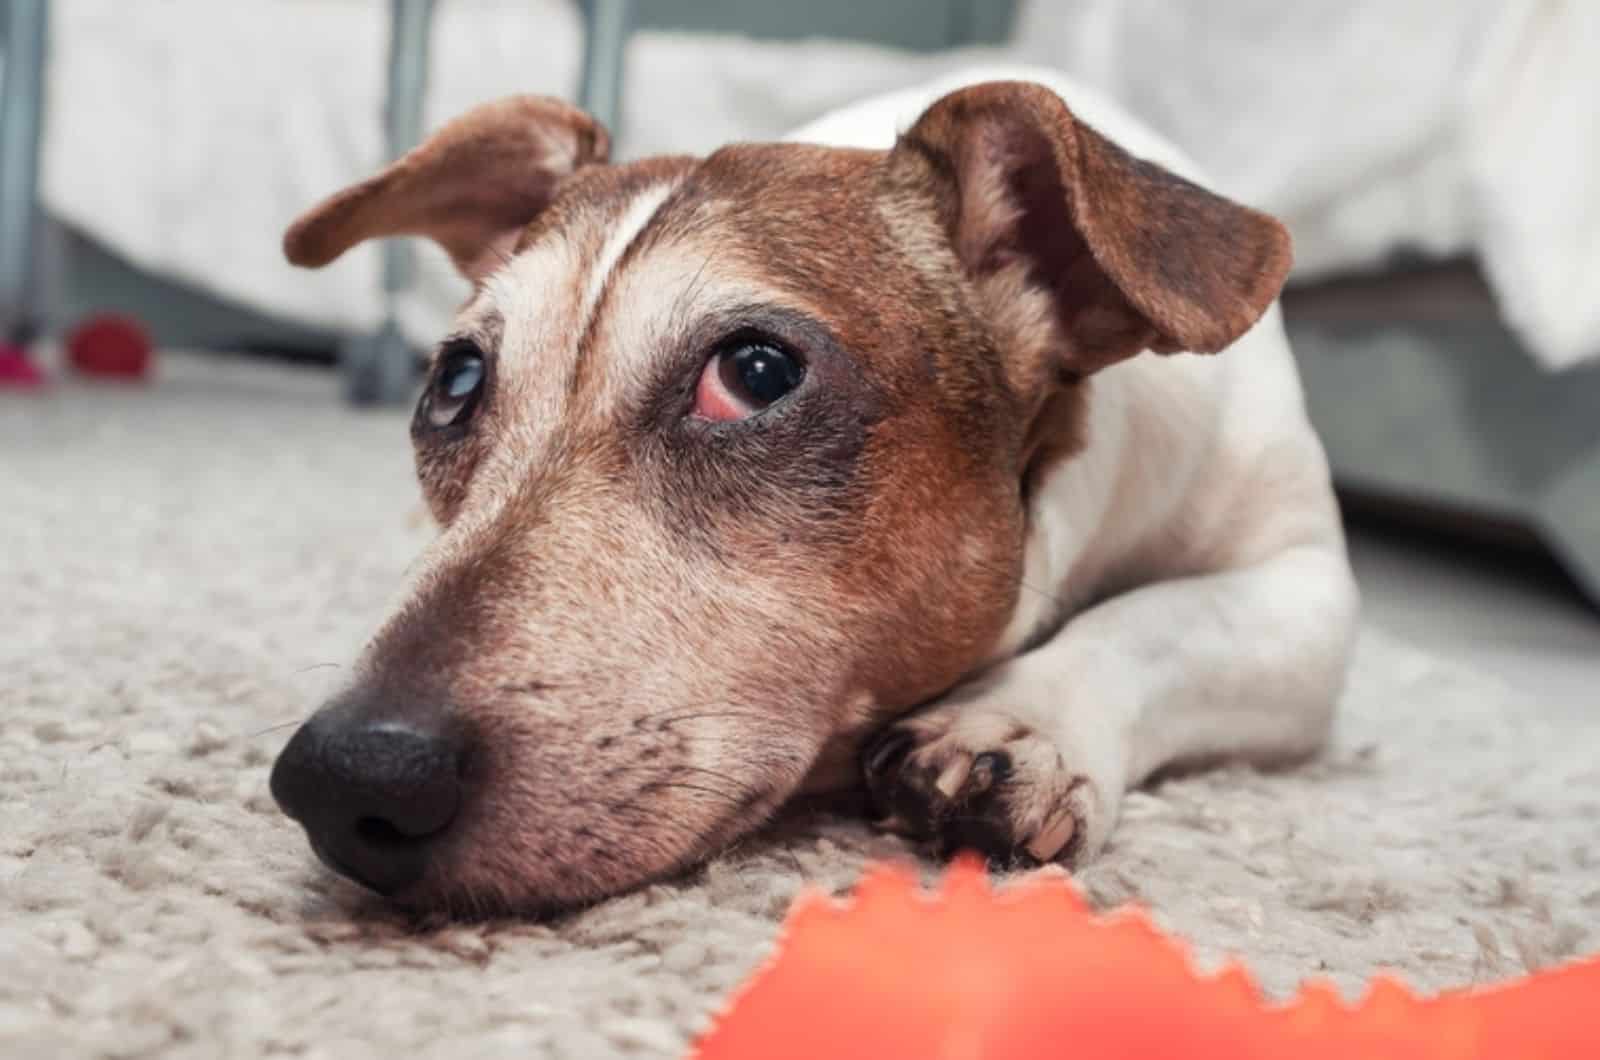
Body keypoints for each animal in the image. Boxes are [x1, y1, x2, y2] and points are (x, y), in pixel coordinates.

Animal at [268, 66, 1356, 915]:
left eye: (753, 373)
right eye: (454, 383)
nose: (342, 778)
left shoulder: (1307, 591)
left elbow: (1161, 619)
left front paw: (1022, 722)